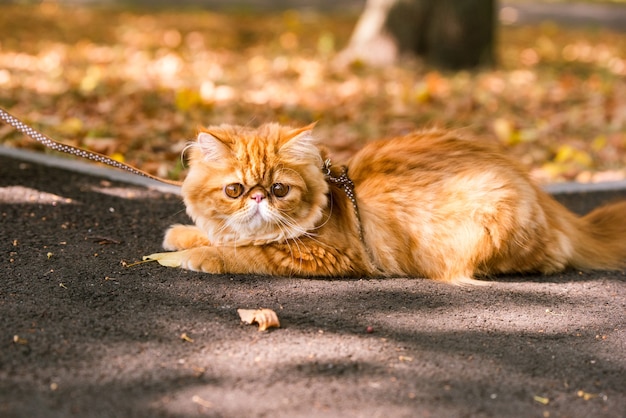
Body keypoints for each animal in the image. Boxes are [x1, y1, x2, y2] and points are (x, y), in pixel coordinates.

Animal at [147, 122, 624, 286]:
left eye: (279, 190)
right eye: (235, 190)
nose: (259, 197)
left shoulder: (327, 255)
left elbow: (243, 253)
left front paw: (199, 255)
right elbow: (217, 234)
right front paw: (184, 235)